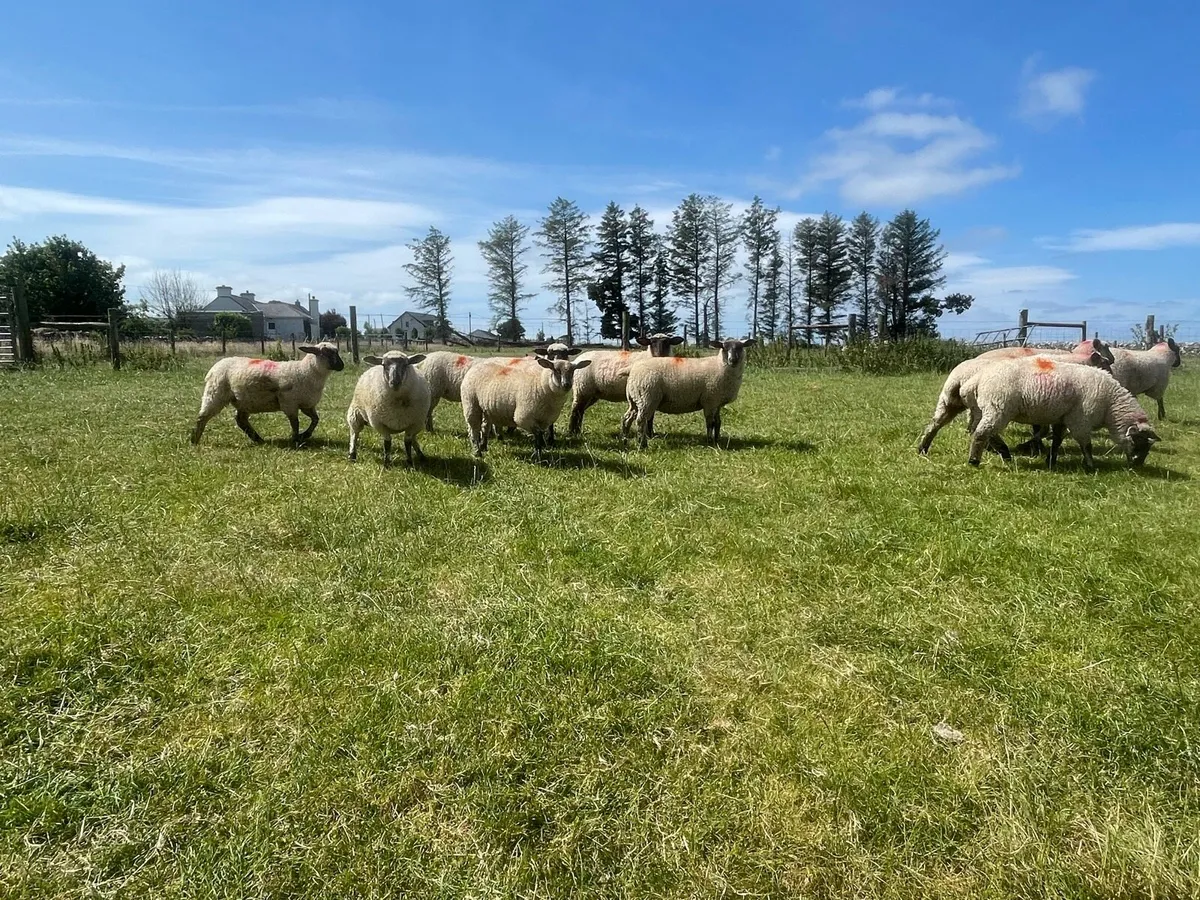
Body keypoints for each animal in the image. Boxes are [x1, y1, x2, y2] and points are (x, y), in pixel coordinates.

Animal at [191, 341, 345, 446]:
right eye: (327, 352)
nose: (342, 366)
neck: (306, 371)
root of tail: (215, 366)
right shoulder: (289, 403)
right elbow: (295, 423)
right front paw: (296, 439)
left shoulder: (306, 404)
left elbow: (315, 420)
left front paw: (305, 435)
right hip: (215, 394)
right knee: (202, 418)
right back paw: (194, 440)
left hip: (244, 401)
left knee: (241, 420)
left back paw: (258, 439)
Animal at [461, 356, 592, 458]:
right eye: (556, 370)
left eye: (573, 371)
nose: (567, 385)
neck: (541, 384)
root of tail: (475, 367)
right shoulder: (524, 416)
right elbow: (538, 435)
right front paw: (537, 456)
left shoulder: (545, 419)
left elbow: (541, 436)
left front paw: (539, 452)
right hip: (471, 404)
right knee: (473, 429)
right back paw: (477, 452)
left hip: (487, 408)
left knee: (485, 427)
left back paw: (483, 447)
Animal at [621, 338, 757, 449]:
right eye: (724, 348)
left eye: (740, 347)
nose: (733, 360)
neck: (720, 365)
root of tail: (633, 369)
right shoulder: (709, 400)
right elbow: (710, 422)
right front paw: (709, 441)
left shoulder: (717, 402)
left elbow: (718, 422)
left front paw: (717, 440)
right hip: (647, 398)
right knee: (641, 421)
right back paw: (642, 445)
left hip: (636, 399)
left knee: (627, 418)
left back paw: (624, 441)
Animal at [918, 338, 1112, 456]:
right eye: (1104, 362)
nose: (1111, 375)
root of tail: (959, 377)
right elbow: (1042, 430)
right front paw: (1030, 446)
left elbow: (1040, 429)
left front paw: (1035, 447)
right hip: (986, 406)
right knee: (977, 428)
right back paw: (996, 449)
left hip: (948, 401)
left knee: (936, 423)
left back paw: (923, 448)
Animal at [961, 356, 1160, 471]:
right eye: (1138, 442)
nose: (1138, 466)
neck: (1110, 406)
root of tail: (976, 380)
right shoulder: (1080, 420)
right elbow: (1086, 445)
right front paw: (1090, 465)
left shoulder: (1063, 418)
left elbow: (1057, 441)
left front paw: (1051, 461)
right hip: (998, 408)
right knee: (981, 433)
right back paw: (974, 461)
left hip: (987, 409)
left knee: (985, 431)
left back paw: (1005, 453)